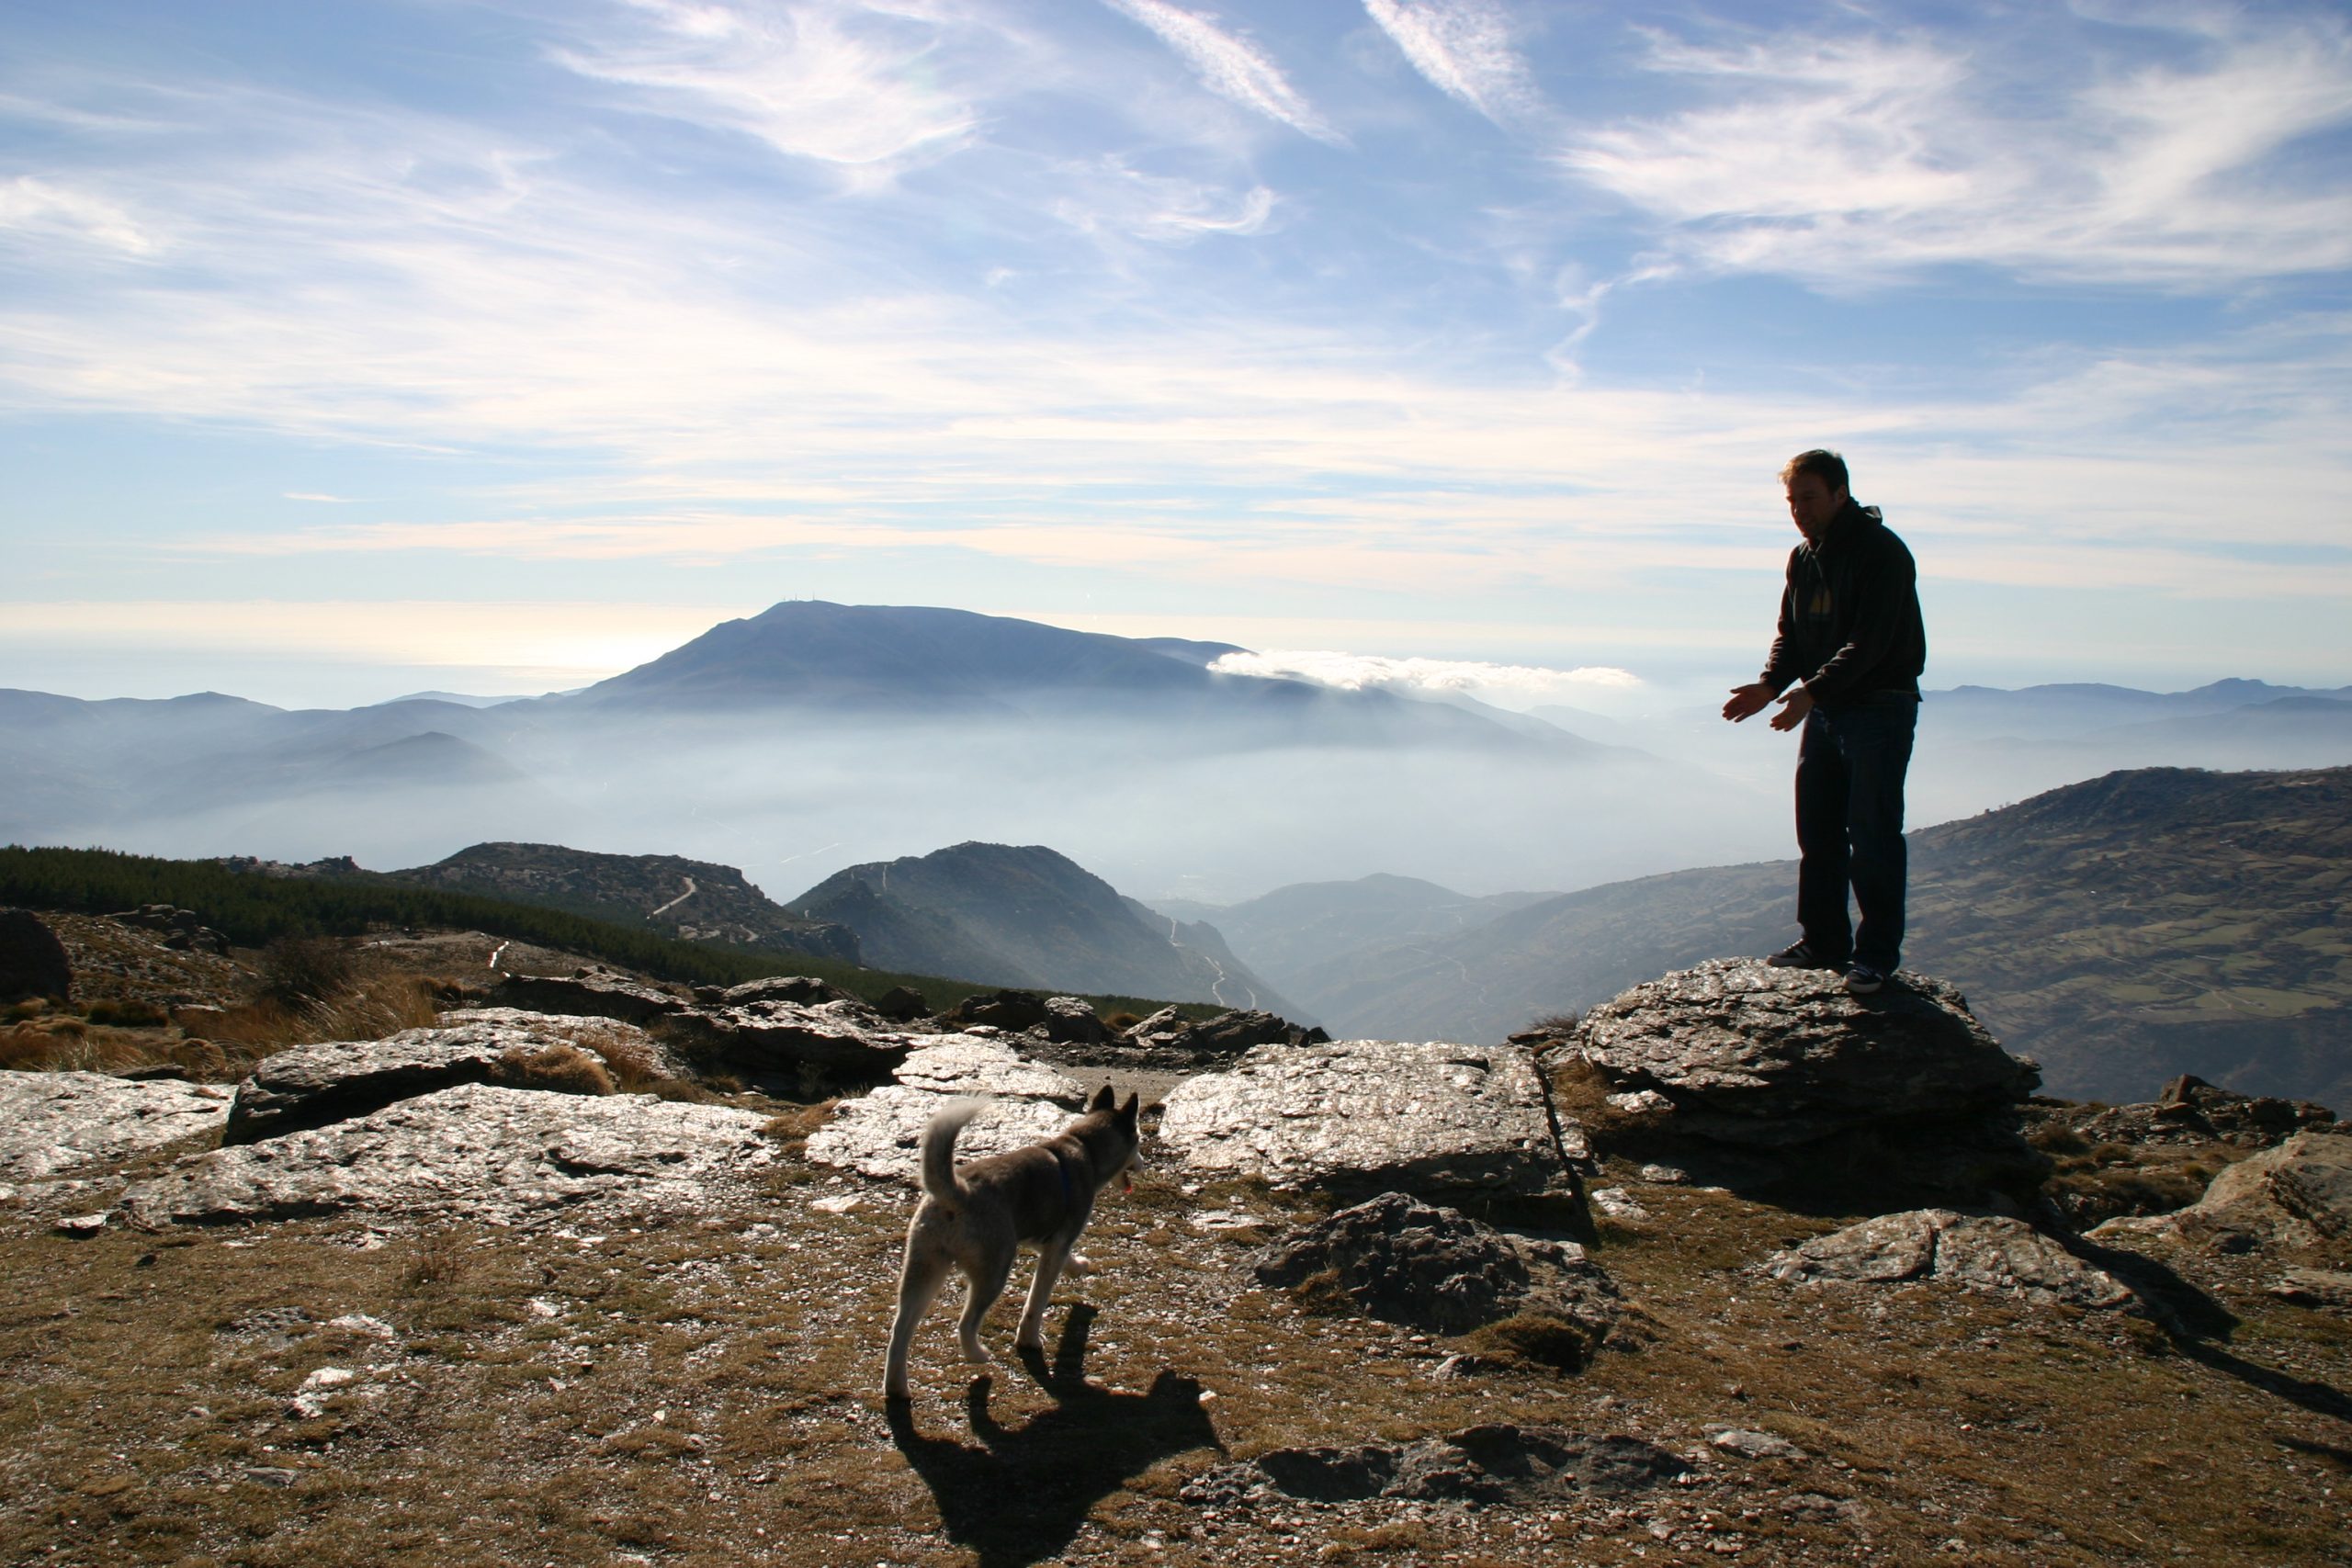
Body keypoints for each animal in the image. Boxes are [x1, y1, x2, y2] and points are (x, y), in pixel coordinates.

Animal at [884, 1086, 1138, 1401]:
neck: (1086, 1149)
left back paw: (897, 1387)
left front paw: (1078, 1266)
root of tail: (956, 1191)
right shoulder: (1058, 1243)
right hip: (994, 1271)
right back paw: (978, 1355)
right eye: (1139, 1141)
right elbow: (1036, 1302)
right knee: (965, 1324)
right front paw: (1028, 1340)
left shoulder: (1042, 1238)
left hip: (923, 1272)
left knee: (899, 1330)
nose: (1142, 1164)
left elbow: (1065, 1259)